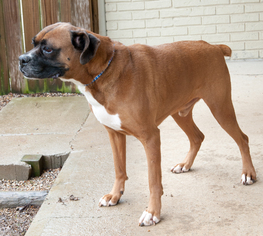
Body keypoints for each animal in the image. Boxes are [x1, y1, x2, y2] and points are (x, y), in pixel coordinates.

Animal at [19, 22, 258, 227]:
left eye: (48, 49)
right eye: (33, 43)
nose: (21, 59)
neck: (102, 72)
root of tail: (214, 47)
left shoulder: (150, 137)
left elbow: (153, 181)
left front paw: (152, 213)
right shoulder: (114, 134)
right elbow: (119, 169)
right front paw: (115, 196)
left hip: (221, 108)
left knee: (242, 138)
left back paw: (248, 173)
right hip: (180, 113)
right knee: (197, 137)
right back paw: (185, 164)